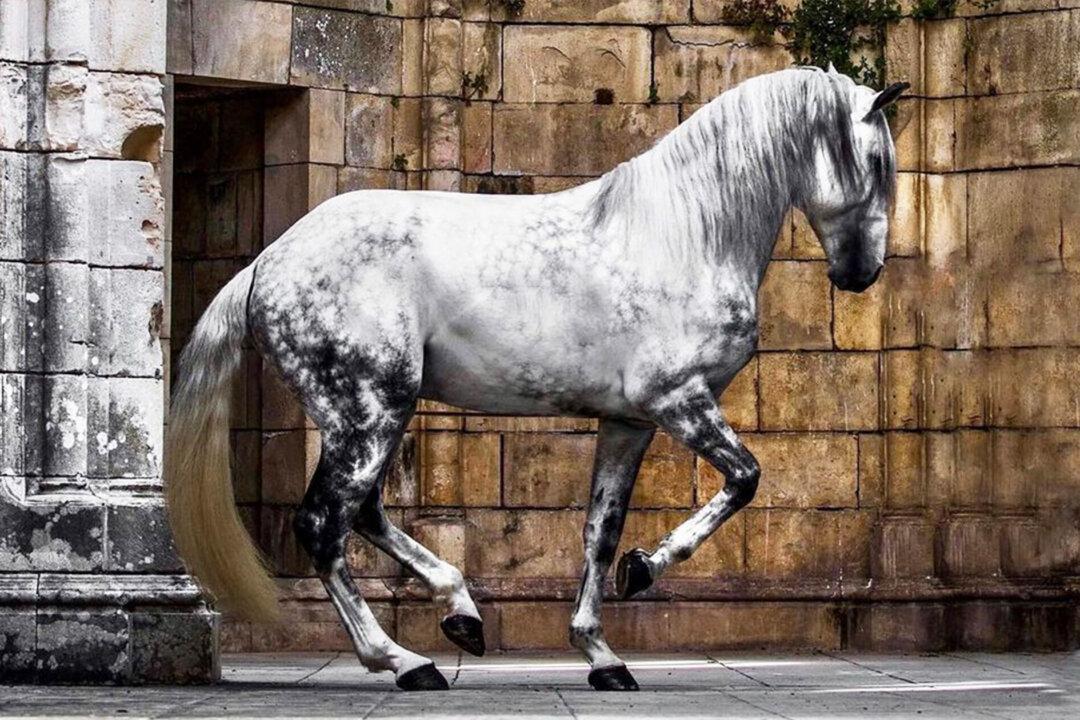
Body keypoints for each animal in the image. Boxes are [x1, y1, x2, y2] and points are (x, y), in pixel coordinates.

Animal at [165, 66, 906, 692]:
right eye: (876, 162)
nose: (862, 273)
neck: (684, 236)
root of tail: (267, 263)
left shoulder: (629, 422)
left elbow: (599, 530)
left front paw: (602, 655)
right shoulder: (680, 402)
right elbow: (745, 479)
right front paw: (643, 571)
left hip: (364, 416)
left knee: (364, 512)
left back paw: (462, 615)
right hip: (372, 410)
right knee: (324, 524)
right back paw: (404, 660)